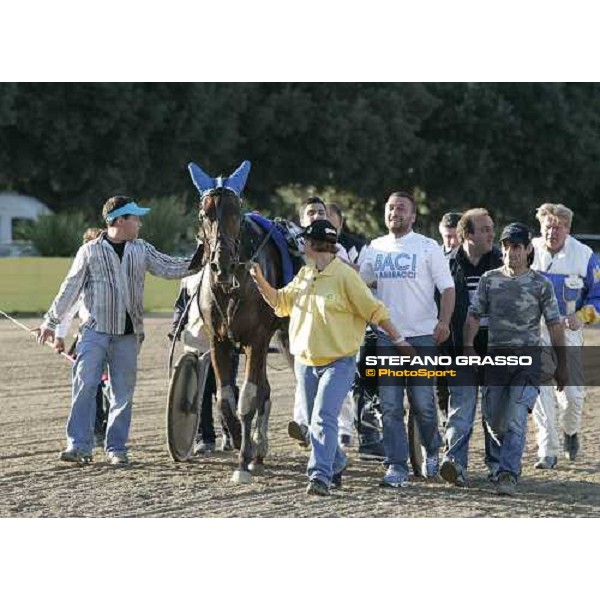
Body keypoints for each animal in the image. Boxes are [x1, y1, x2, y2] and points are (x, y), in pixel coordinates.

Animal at [188, 159, 290, 482]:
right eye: (204, 214)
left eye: (236, 212)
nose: (222, 265)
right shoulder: (219, 341)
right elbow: (225, 398)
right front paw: (237, 439)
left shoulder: (257, 340)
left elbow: (247, 397)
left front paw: (244, 459)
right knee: (265, 390)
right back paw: (260, 447)